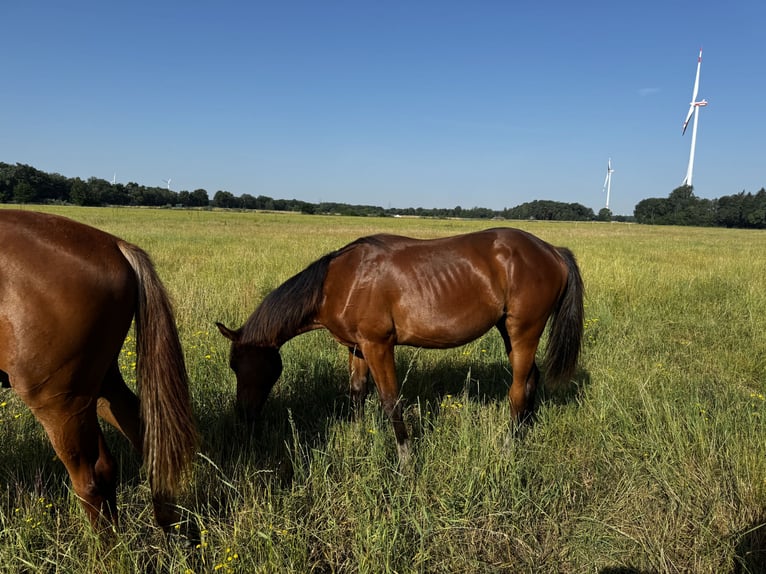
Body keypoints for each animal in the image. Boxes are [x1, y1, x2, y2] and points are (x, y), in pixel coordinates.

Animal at [0, 210, 197, 534]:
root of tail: (116, 247)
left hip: (60, 403)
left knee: (91, 479)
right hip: (99, 384)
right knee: (143, 439)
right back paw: (169, 531)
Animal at [217, 227, 584, 461]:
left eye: (241, 365)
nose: (243, 415)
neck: (340, 281)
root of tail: (552, 251)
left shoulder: (379, 346)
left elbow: (391, 401)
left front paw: (406, 461)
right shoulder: (357, 348)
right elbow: (357, 393)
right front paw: (358, 439)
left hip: (524, 331)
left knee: (518, 391)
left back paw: (508, 449)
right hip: (509, 332)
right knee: (531, 381)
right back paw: (521, 436)